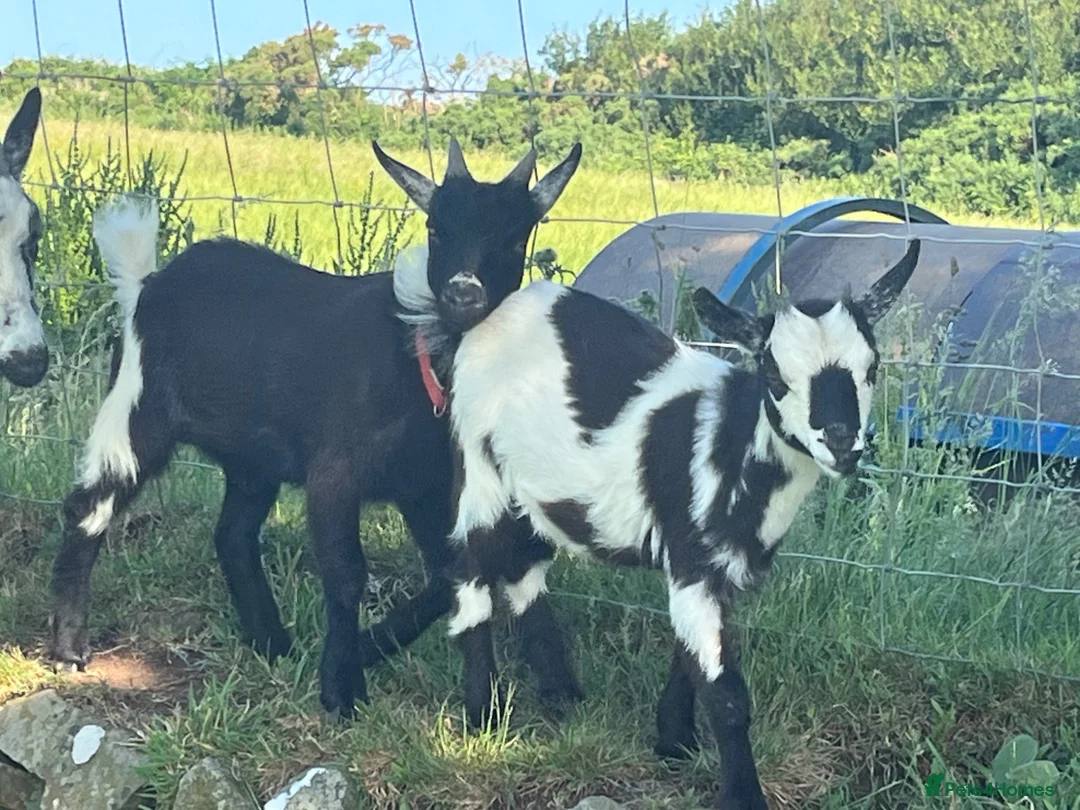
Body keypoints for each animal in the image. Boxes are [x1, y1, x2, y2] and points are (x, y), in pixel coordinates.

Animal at [46, 138, 583, 719]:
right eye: (436, 227)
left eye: (516, 236)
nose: (464, 294)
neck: (420, 356)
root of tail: (148, 283)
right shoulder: (334, 474)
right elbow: (347, 574)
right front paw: (342, 689)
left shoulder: (423, 487)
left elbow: (448, 574)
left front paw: (368, 650)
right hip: (135, 409)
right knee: (90, 506)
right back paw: (69, 649)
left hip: (252, 459)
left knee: (233, 533)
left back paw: (271, 641)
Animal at [424, 240, 920, 809]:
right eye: (775, 376)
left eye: (873, 367)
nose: (842, 443)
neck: (729, 443)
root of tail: (488, 315)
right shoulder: (693, 555)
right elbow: (725, 693)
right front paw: (741, 794)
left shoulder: (722, 565)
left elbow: (691, 654)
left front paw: (673, 740)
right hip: (478, 463)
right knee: (471, 572)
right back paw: (483, 715)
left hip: (535, 491)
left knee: (524, 567)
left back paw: (561, 694)